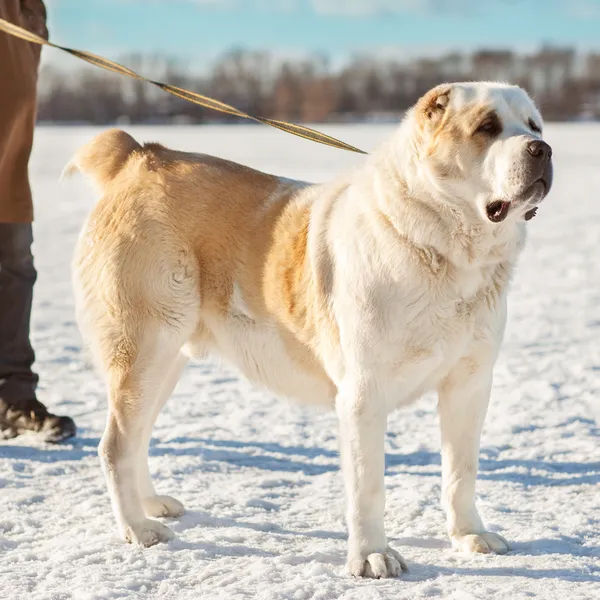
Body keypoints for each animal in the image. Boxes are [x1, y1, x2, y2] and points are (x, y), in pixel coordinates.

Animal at [67, 82, 552, 580]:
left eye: (534, 126)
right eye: (487, 127)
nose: (542, 149)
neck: (446, 252)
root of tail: (140, 156)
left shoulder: (469, 385)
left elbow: (461, 470)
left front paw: (470, 536)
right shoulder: (363, 395)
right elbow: (368, 487)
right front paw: (372, 556)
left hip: (165, 361)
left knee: (138, 436)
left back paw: (151, 506)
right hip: (144, 350)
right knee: (116, 445)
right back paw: (138, 528)